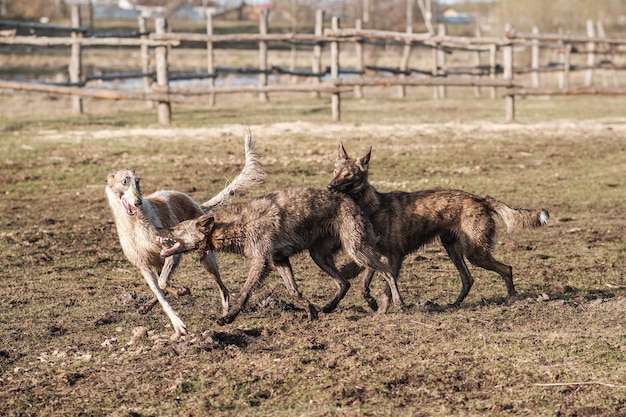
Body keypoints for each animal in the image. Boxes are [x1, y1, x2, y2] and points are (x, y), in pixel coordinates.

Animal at [104, 130, 264, 334]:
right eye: (124, 181)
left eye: (138, 182)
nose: (138, 202)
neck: (134, 223)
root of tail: (196, 203)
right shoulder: (144, 265)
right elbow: (161, 293)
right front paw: (177, 323)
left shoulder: (172, 251)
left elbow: (163, 284)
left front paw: (182, 293)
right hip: (161, 263)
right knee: (163, 285)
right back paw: (148, 306)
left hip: (207, 259)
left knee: (224, 290)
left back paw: (223, 313)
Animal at [155, 186, 400, 324]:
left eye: (176, 228)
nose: (158, 229)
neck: (237, 224)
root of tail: (352, 202)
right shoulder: (280, 261)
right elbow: (293, 292)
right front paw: (310, 312)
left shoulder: (261, 263)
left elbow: (244, 293)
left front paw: (228, 318)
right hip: (320, 256)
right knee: (344, 283)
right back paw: (329, 307)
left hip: (355, 250)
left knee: (387, 272)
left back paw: (396, 304)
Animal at [326, 143, 544, 308]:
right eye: (335, 172)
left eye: (349, 175)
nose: (329, 187)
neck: (371, 206)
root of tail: (480, 198)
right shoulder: (375, 255)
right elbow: (365, 286)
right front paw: (373, 304)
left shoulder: (395, 257)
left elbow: (388, 288)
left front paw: (388, 308)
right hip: (454, 251)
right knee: (468, 279)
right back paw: (455, 304)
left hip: (475, 254)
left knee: (506, 269)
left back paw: (512, 299)